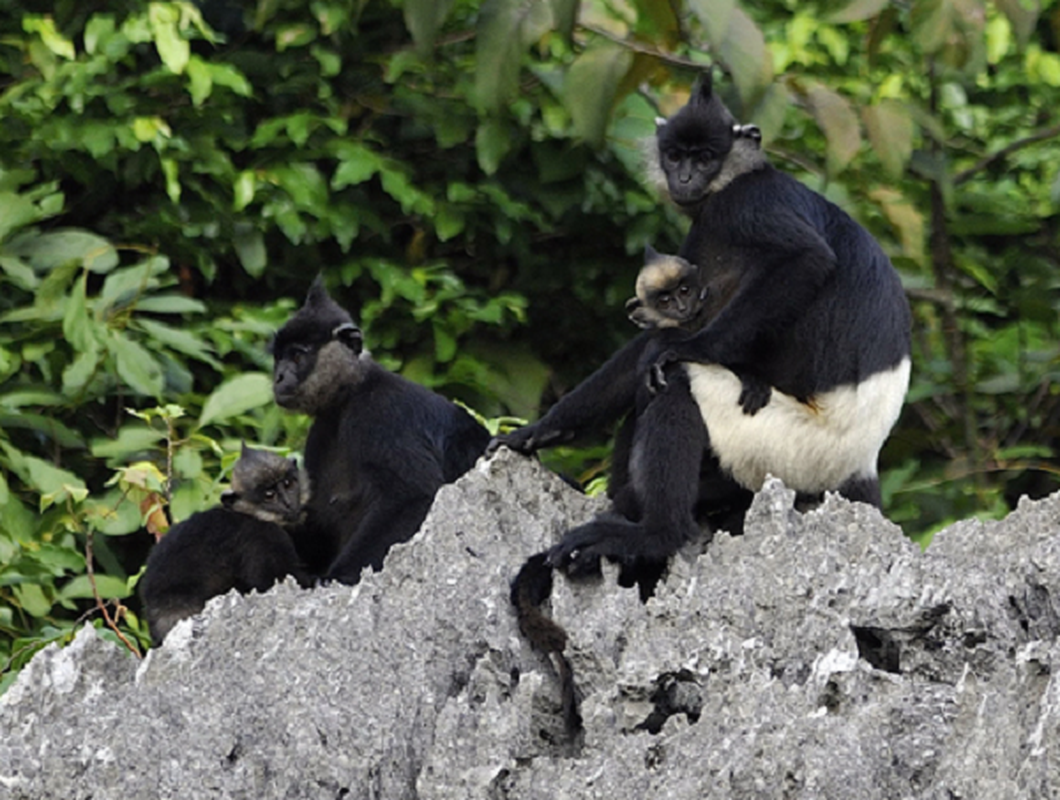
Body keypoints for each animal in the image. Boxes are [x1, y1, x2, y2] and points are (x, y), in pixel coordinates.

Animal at [138, 440, 309, 640]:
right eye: (269, 495)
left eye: (288, 484)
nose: (289, 504)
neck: (247, 514)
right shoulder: (264, 537)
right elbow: (273, 578)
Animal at [271, 275, 489, 580]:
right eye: (278, 358)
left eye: (297, 356)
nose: (278, 377)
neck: (350, 395)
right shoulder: (320, 431)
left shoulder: (381, 411)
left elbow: (412, 495)